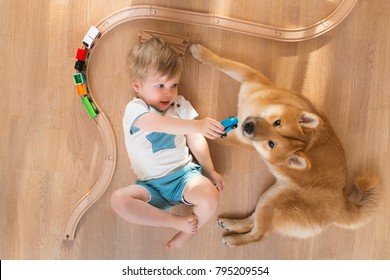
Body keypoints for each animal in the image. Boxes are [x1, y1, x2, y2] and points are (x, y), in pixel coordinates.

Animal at [190, 44, 380, 247]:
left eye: (271, 144)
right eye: (277, 123)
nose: (247, 127)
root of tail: (341, 207)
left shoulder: (239, 138)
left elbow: (208, 134)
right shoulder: (249, 76)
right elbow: (222, 62)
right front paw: (201, 53)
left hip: (273, 203)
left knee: (258, 234)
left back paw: (234, 240)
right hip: (269, 197)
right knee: (253, 220)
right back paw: (231, 223)